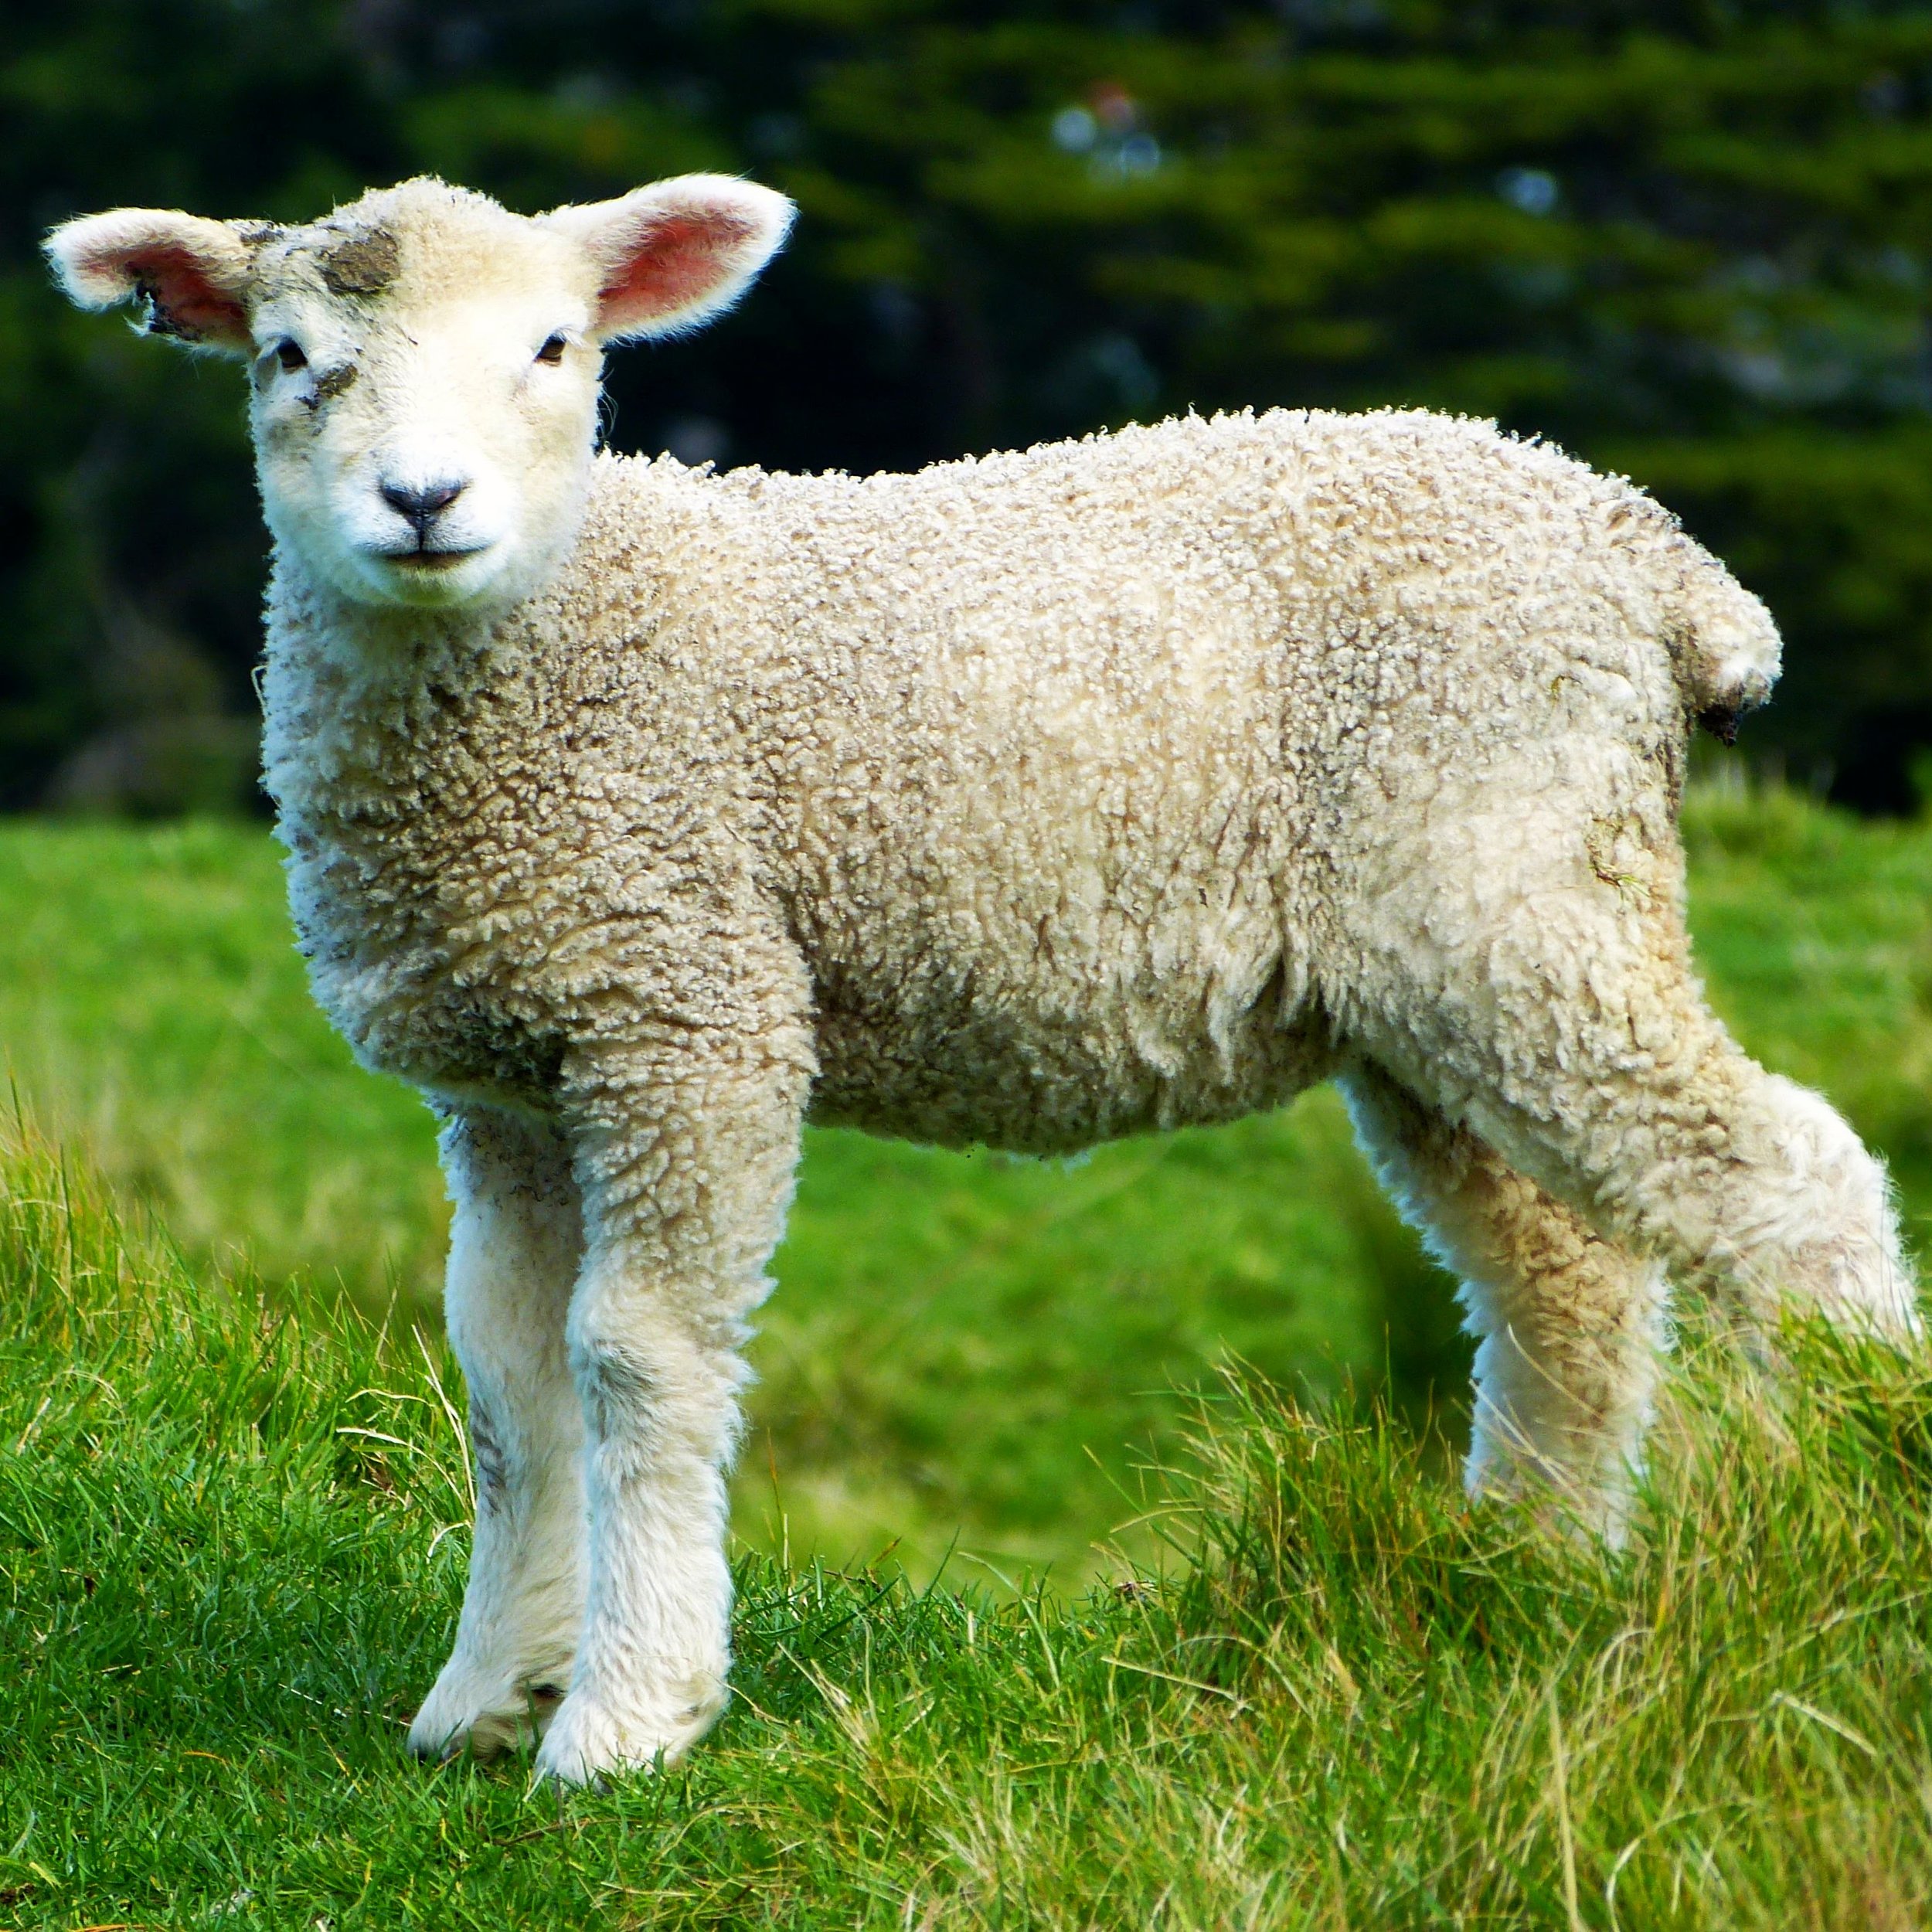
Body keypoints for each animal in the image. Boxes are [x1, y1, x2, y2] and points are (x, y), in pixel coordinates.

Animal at [47, 173, 1918, 1786]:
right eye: (292, 359)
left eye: (555, 348)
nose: (423, 505)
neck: (571, 631)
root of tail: (1656, 560)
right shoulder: (512, 1062)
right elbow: (509, 1379)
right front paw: (484, 1698)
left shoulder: (689, 1008)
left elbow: (634, 1353)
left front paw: (629, 1715)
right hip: (1439, 970)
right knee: (1561, 1281)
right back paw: (1519, 1583)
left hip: (1512, 888)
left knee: (1789, 1179)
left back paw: (1853, 1504)